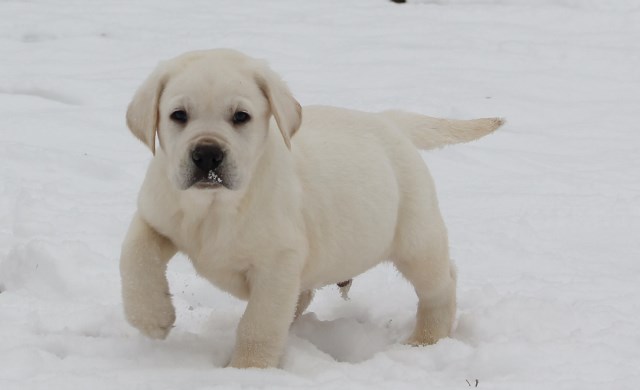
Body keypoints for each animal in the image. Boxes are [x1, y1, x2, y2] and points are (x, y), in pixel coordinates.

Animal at [119, 47, 500, 368]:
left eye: (241, 116)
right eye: (178, 115)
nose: (208, 155)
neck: (214, 208)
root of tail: (389, 121)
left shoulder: (277, 264)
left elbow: (259, 323)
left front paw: (247, 370)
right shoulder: (154, 216)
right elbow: (135, 257)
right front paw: (152, 318)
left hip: (416, 240)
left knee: (441, 284)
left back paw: (426, 339)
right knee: (302, 296)